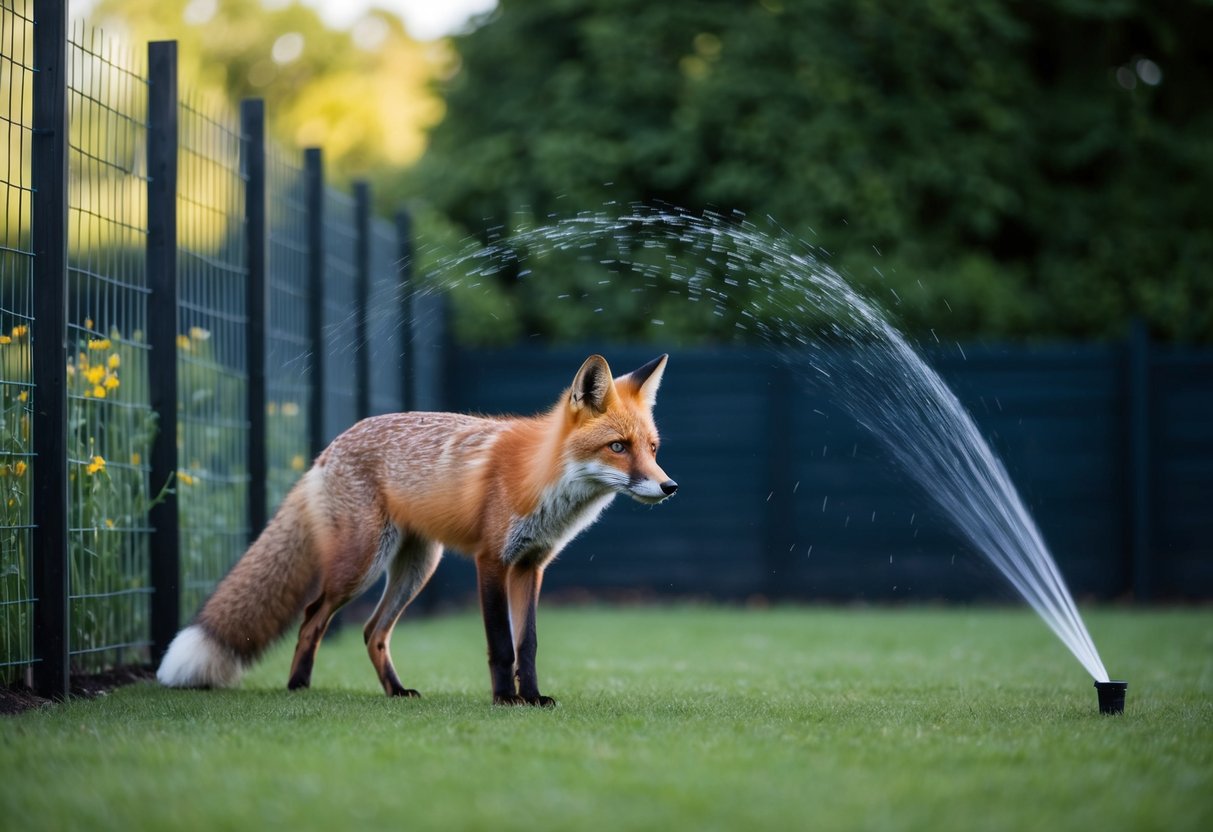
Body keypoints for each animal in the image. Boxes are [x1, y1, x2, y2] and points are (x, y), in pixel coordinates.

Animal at [156, 353, 676, 705]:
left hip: (416, 568)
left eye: (651, 448)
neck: (543, 478)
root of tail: (328, 450)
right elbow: (500, 644)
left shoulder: (531, 565)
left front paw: (532, 697)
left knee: (372, 631)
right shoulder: (492, 560)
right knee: (311, 618)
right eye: (617, 446)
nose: (669, 487)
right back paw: (298, 686)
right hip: (360, 566)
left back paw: (396, 690)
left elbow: (527, 645)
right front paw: (505, 699)